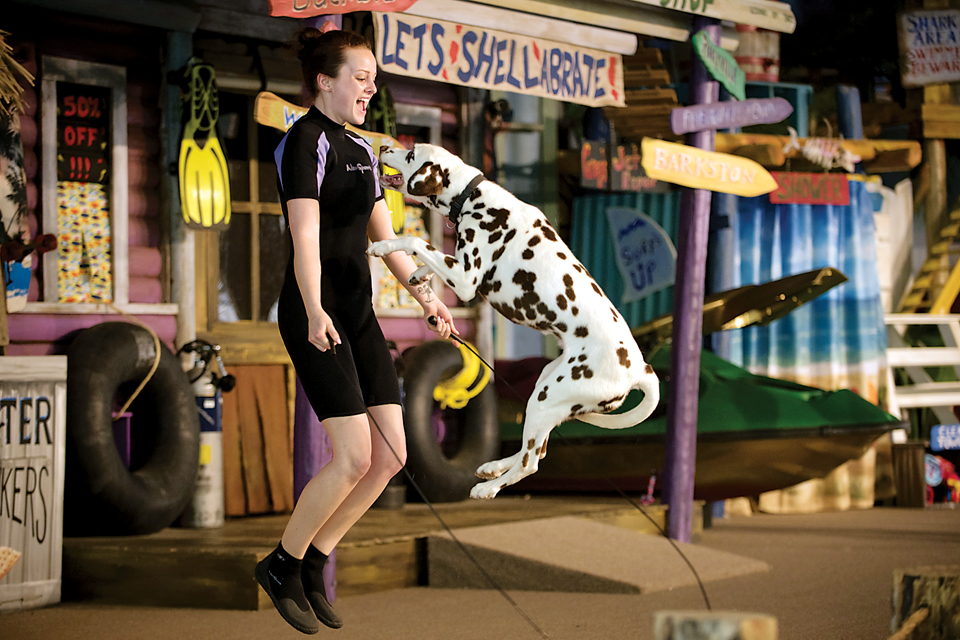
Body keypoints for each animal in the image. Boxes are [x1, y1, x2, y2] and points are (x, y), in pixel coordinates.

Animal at [368, 144, 660, 500]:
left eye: (410, 154)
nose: (384, 146)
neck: (474, 197)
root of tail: (640, 369)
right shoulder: (458, 267)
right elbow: (430, 254)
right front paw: (418, 274)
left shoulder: (465, 280)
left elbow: (416, 242)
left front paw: (384, 245)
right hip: (544, 389)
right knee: (535, 450)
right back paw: (492, 467)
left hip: (547, 397)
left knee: (530, 462)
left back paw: (488, 488)